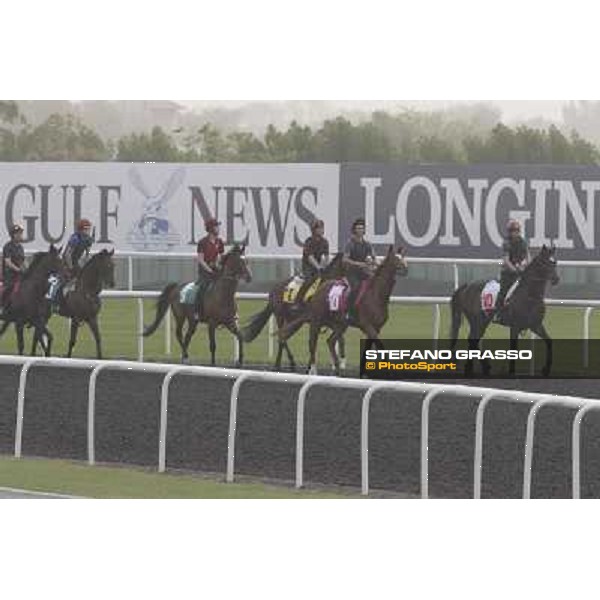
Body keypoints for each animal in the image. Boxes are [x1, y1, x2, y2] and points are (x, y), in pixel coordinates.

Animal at [278, 245, 410, 376]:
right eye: (395, 259)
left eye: (402, 257)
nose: (406, 269)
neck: (376, 294)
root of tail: (321, 287)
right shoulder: (367, 325)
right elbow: (379, 346)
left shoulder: (376, 327)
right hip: (316, 320)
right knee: (312, 342)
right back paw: (313, 370)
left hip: (339, 324)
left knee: (330, 341)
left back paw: (337, 369)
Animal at [452, 244, 560, 376]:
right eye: (545, 262)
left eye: (555, 262)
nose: (556, 279)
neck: (530, 296)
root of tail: (467, 286)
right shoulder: (515, 327)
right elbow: (513, 349)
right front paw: (511, 371)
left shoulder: (536, 325)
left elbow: (549, 341)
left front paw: (546, 369)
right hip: (477, 320)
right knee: (473, 338)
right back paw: (472, 367)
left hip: (482, 321)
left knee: (474, 339)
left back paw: (484, 366)